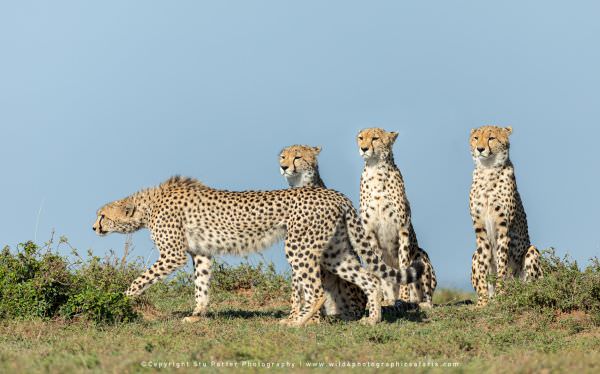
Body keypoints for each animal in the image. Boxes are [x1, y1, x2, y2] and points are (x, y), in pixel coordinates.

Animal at [92, 177, 422, 326]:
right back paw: (372, 319)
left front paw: (121, 298)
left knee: (316, 290)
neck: (147, 205)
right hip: (334, 252)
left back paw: (297, 322)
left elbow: (140, 279)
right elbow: (202, 287)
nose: (93, 227)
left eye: (102, 215)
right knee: (370, 278)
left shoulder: (172, 254)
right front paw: (197, 315)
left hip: (299, 247)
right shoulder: (201, 253)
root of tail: (334, 194)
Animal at [280, 145, 366, 320]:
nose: (283, 167)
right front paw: (294, 316)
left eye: (297, 157)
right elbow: (296, 289)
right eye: (283, 157)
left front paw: (312, 318)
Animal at [356, 127, 436, 308]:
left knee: (426, 298)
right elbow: (378, 269)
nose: (364, 148)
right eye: (361, 138)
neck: (376, 170)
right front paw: (380, 299)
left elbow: (403, 265)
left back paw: (417, 302)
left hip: (421, 255)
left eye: (375, 138)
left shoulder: (402, 229)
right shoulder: (370, 233)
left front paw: (403, 298)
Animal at [468, 125, 544, 306]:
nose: (480, 149)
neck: (488, 170)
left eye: (491, 138)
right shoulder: (480, 231)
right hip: (474, 253)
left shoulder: (503, 229)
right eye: (476, 138)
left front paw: (501, 293)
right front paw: (483, 301)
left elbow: (502, 264)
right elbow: (483, 266)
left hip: (532, 251)